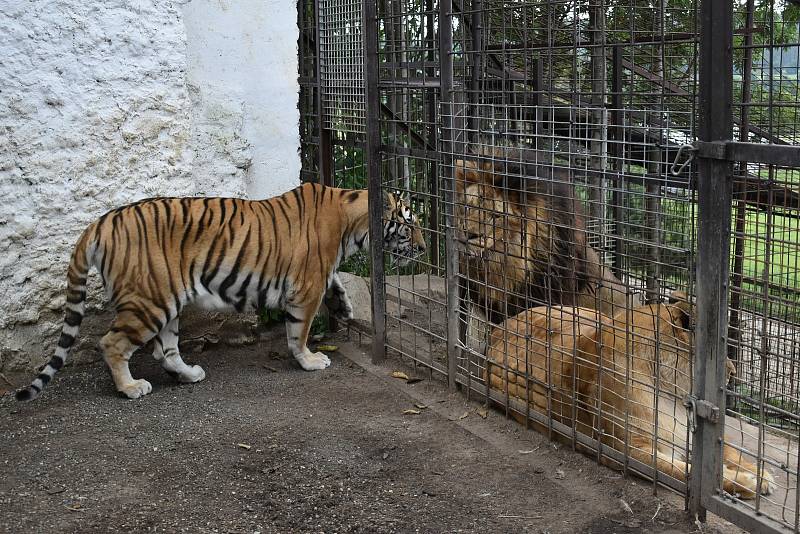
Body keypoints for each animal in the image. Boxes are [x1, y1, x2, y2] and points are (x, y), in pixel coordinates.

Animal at [15, 184, 424, 402]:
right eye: (408, 224)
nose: (423, 247)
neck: (352, 224)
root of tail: (99, 223)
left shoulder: (318, 276)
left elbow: (335, 283)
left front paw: (344, 307)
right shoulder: (305, 287)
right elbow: (299, 332)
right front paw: (310, 361)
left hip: (167, 302)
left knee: (166, 350)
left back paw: (189, 374)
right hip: (148, 301)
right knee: (112, 344)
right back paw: (131, 387)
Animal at [484, 296, 772, 500]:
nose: (733, 374)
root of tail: (498, 329)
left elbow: (728, 451)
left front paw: (760, 473)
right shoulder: (629, 449)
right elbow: (683, 471)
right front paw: (746, 482)